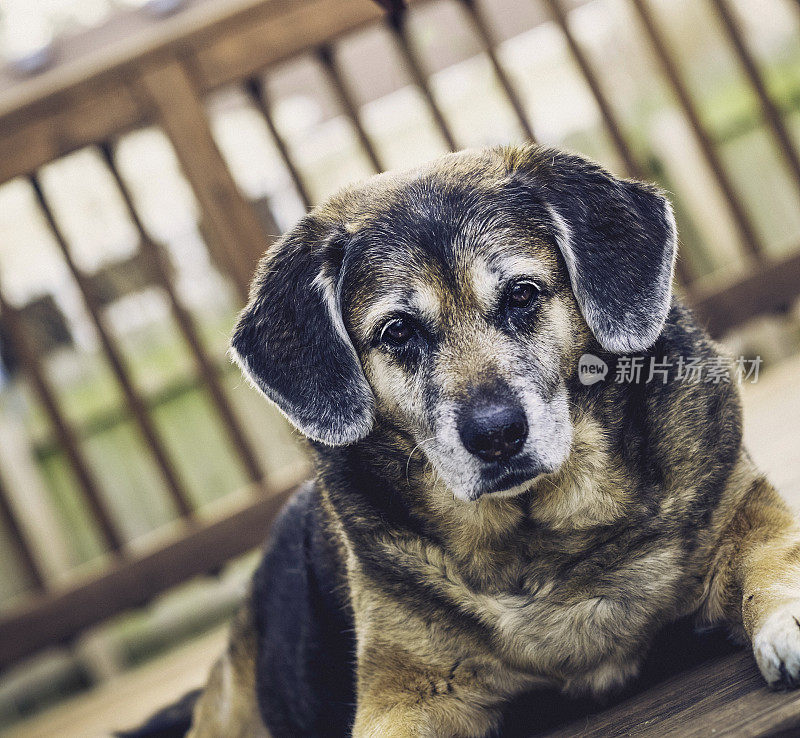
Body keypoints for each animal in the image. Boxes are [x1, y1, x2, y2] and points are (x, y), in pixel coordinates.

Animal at [126, 144, 800, 736]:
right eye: (398, 331)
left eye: (523, 294)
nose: (496, 434)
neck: (538, 537)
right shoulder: (408, 688)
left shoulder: (740, 509)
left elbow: (772, 558)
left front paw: (788, 621)